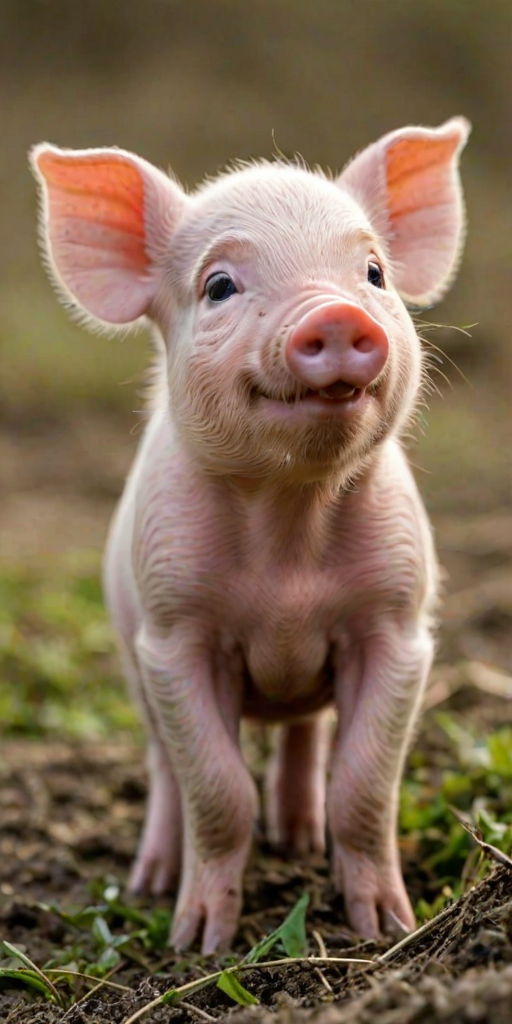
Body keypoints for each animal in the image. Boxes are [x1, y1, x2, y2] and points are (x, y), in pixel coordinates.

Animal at [30, 116, 470, 954]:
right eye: (220, 286)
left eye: (373, 272)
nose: (336, 315)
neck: (289, 533)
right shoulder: (174, 634)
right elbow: (215, 788)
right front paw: (197, 941)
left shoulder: (399, 625)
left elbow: (365, 783)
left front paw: (385, 928)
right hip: (131, 659)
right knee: (165, 770)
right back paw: (152, 881)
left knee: (305, 736)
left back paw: (296, 839)